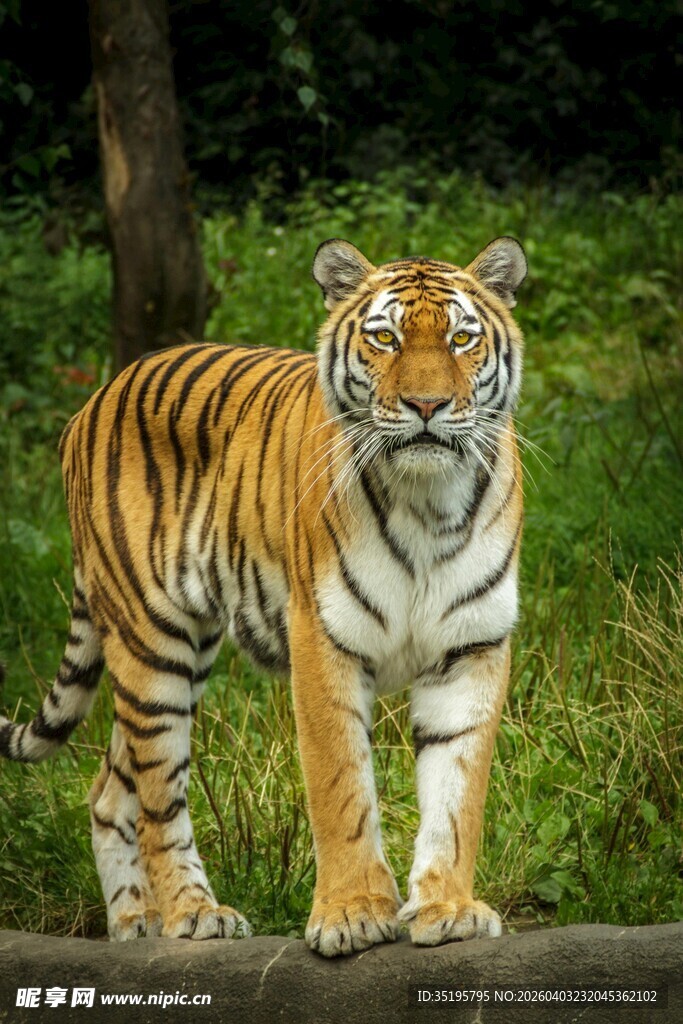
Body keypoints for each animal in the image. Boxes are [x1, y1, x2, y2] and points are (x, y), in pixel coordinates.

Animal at [0, 236, 526, 956]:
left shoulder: (471, 647)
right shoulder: (323, 639)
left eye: (461, 338)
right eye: (384, 338)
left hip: (178, 651)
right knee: (158, 796)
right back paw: (192, 915)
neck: (428, 502)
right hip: (151, 642)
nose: (426, 406)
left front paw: (448, 908)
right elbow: (340, 786)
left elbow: (457, 792)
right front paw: (352, 914)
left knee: (110, 790)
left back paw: (133, 923)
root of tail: (94, 398)